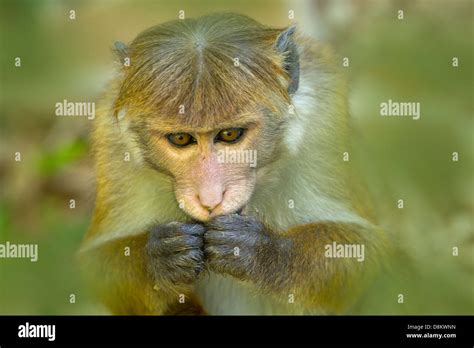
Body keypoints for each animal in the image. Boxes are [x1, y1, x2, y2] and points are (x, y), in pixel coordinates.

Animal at [78, 12, 388, 314]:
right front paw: (160, 256)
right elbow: (93, 265)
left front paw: (263, 252)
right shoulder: (112, 138)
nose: (210, 198)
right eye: (181, 138)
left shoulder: (324, 121)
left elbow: (366, 249)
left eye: (229, 134)